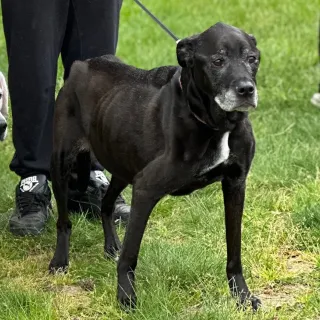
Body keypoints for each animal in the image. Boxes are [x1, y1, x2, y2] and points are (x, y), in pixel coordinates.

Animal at [49, 21, 260, 310]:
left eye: (252, 59)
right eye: (218, 61)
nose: (246, 90)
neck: (216, 124)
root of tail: (82, 64)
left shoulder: (235, 185)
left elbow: (234, 251)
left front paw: (242, 296)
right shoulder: (146, 189)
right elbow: (130, 254)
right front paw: (126, 297)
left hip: (122, 166)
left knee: (106, 204)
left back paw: (111, 246)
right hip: (62, 164)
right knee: (64, 221)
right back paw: (60, 260)